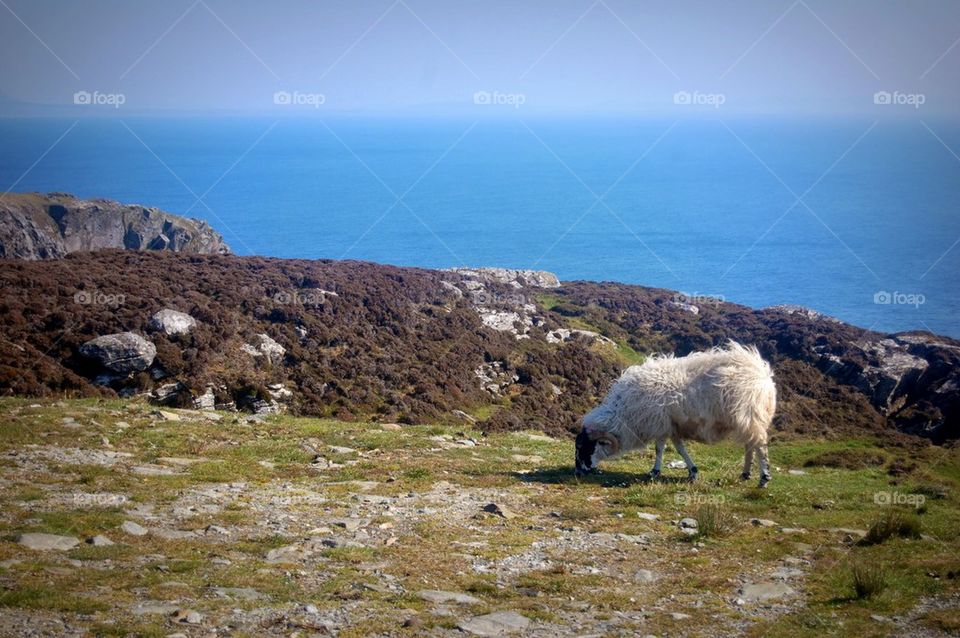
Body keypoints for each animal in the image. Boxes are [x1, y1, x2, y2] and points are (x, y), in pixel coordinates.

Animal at [574, 341, 777, 487]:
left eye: (585, 447)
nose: (578, 472)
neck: (624, 414)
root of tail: (761, 373)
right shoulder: (670, 425)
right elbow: (679, 449)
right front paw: (692, 471)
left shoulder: (660, 424)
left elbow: (659, 449)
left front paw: (655, 472)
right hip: (748, 420)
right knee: (750, 445)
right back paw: (745, 474)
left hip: (749, 415)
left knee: (759, 445)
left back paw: (764, 478)